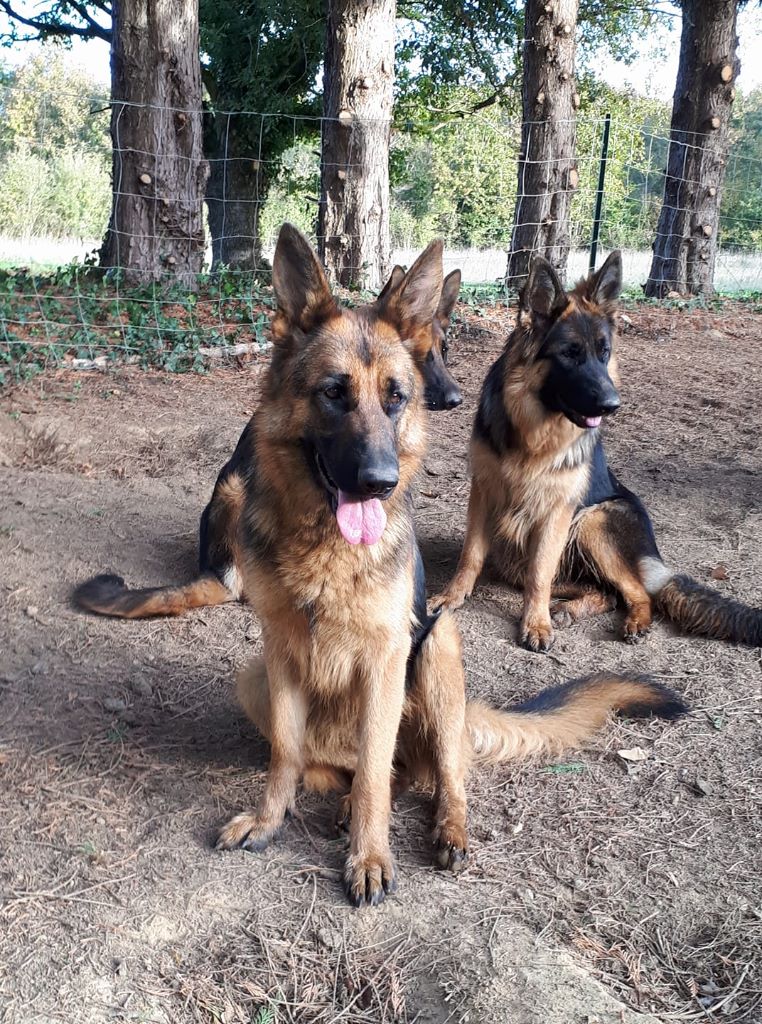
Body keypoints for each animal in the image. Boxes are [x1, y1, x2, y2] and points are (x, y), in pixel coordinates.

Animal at [186, 224, 684, 905]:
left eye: (396, 398)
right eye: (333, 393)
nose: (380, 481)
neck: (324, 549)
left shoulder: (386, 661)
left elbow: (375, 773)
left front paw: (369, 856)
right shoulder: (282, 653)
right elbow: (287, 753)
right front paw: (269, 820)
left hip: (441, 649)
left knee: (434, 774)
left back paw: (443, 828)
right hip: (254, 676)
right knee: (369, 771)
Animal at [434, 249, 762, 647]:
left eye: (604, 353)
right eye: (569, 354)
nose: (612, 404)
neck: (535, 433)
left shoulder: (557, 511)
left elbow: (539, 575)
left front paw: (536, 623)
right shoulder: (483, 491)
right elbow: (471, 554)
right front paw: (452, 596)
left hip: (592, 521)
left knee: (634, 591)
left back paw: (631, 621)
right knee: (604, 592)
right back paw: (569, 610)